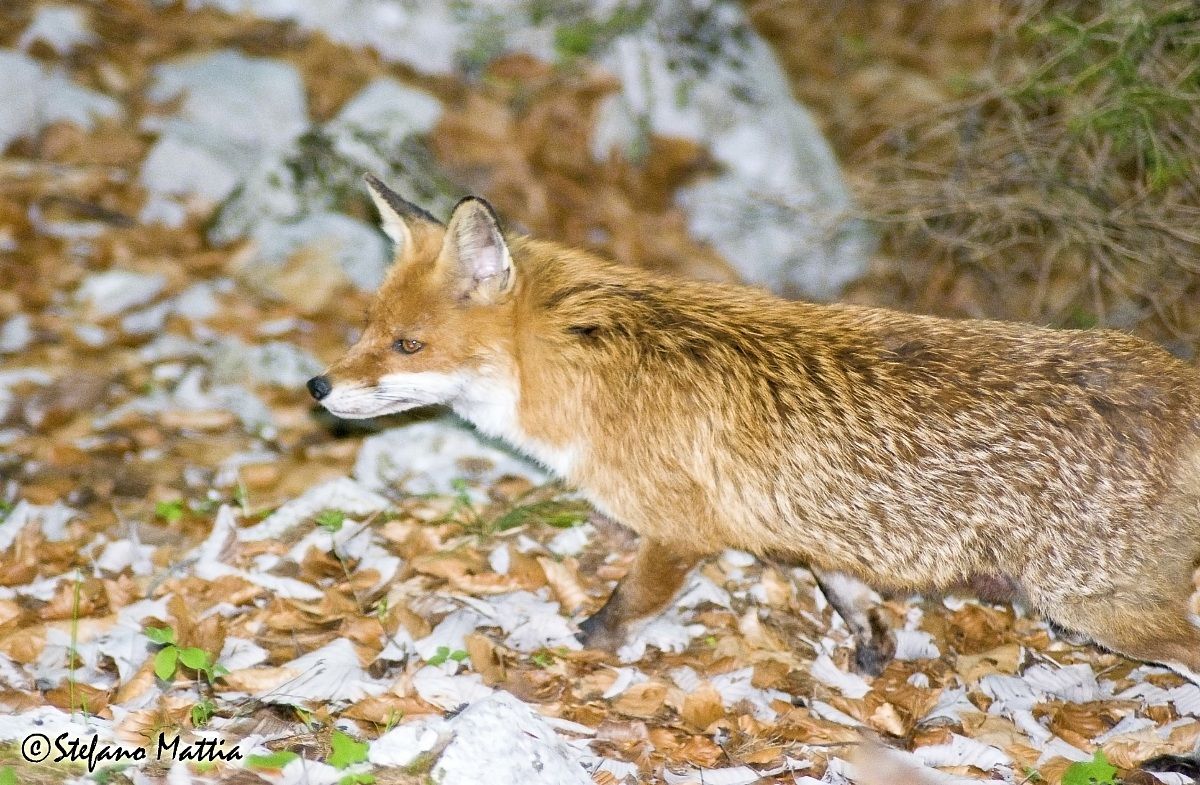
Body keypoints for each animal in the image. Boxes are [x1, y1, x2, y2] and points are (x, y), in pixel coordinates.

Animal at [308, 173, 1200, 679]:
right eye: (366, 327)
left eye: (407, 345)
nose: (318, 386)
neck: (588, 364)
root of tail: (1178, 377)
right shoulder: (811, 531)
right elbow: (846, 590)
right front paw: (873, 648)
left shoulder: (679, 531)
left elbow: (620, 609)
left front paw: (579, 650)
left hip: (1094, 606)